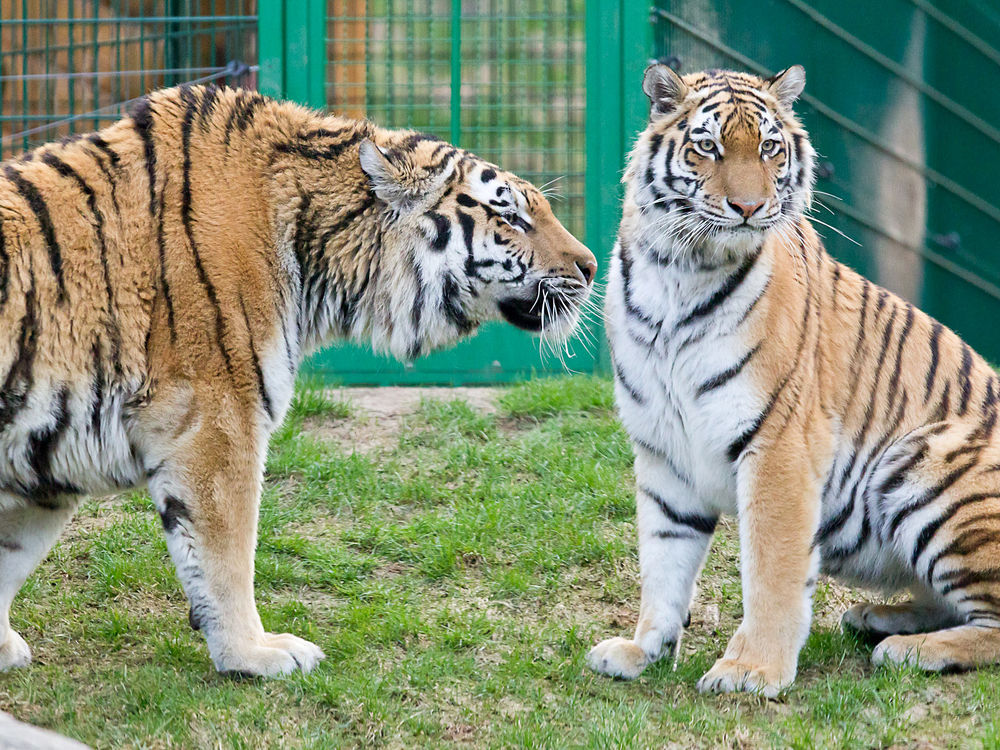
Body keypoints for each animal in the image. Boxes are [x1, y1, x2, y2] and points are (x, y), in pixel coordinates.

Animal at [0, 85, 592, 680]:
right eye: (510, 215)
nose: (590, 268)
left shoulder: (49, 451)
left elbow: (12, 553)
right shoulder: (219, 422)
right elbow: (227, 554)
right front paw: (254, 653)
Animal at [584, 63, 1000, 700]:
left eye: (769, 149)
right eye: (708, 147)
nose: (749, 206)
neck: (679, 271)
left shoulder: (779, 442)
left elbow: (771, 569)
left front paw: (752, 670)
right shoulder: (662, 452)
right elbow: (662, 563)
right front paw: (642, 651)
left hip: (924, 459)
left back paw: (909, 651)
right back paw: (877, 619)